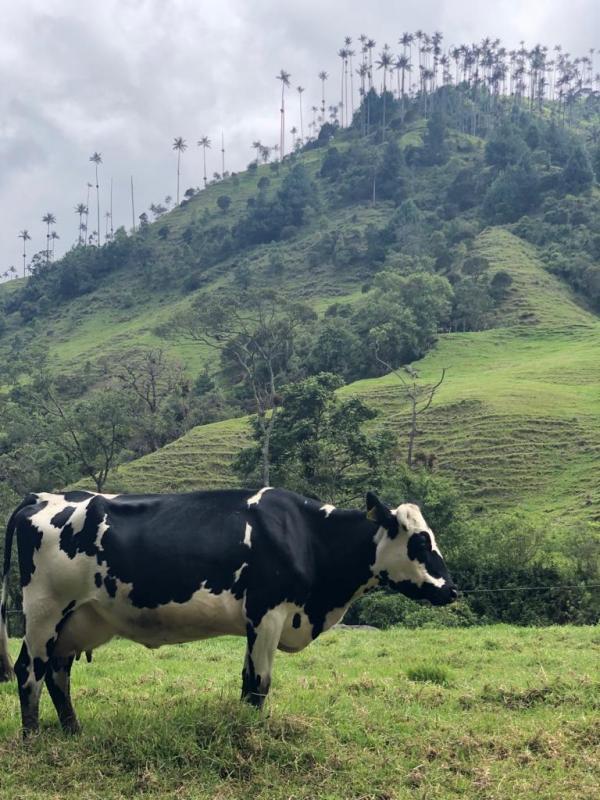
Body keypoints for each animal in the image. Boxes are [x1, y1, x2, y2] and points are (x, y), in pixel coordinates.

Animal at [0, 484, 458, 736]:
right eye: (420, 542)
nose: (451, 589)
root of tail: (42, 496)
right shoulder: (269, 613)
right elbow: (259, 684)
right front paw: (254, 735)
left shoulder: (261, 621)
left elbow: (246, 681)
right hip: (44, 611)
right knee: (30, 672)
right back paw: (33, 740)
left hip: (76, 619)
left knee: (58, 673)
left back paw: (74, 733)